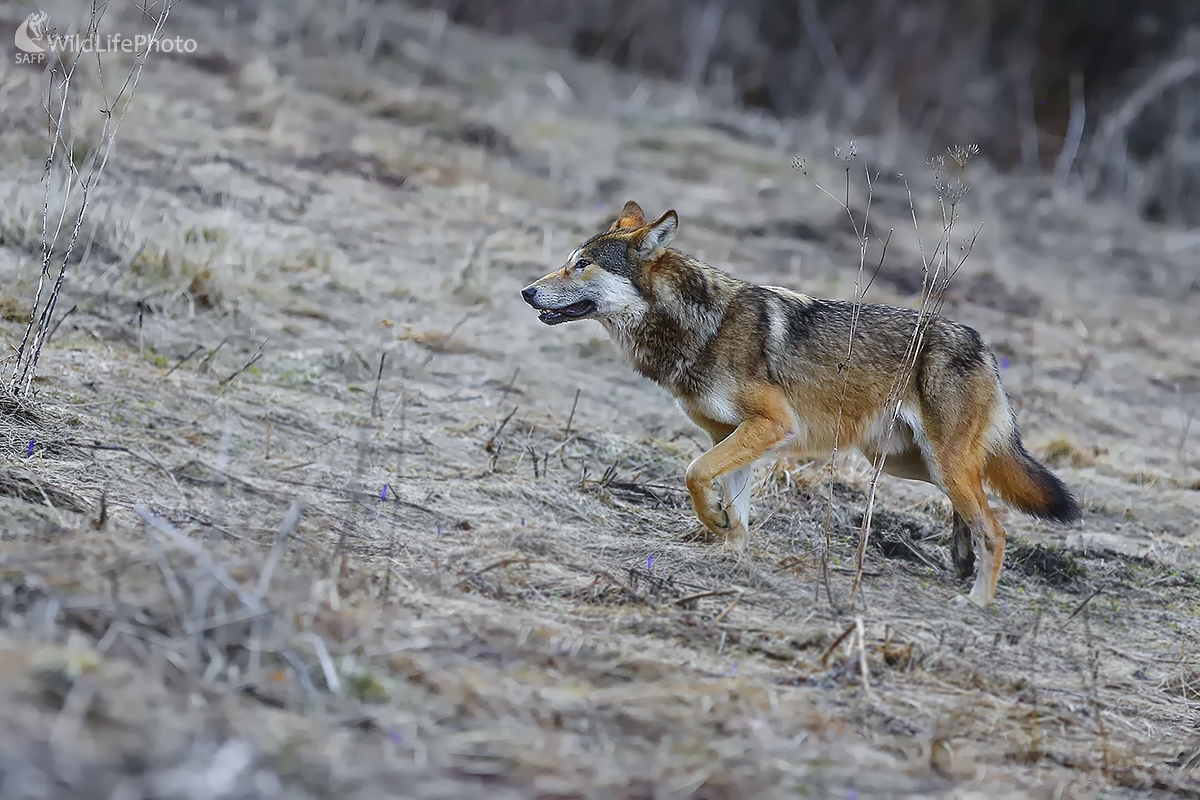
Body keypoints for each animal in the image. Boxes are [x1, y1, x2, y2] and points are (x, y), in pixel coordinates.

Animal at [520, 200, 1084, 606]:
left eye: (581, 265)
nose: (526, 292)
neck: (699, 327)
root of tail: (983, 344)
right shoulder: (730, 435)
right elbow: (733, 504)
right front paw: (731, 554)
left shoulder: (771, 426)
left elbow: (693, 473)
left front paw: (717, 529)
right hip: (907, 463)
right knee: (979, 507)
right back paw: (961, 560)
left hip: (939, 464)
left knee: (997, 528)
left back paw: (978, 601)